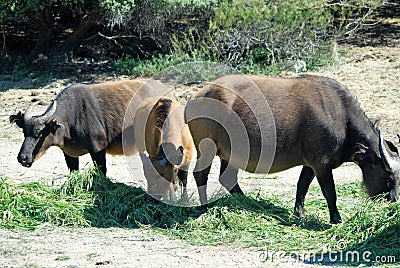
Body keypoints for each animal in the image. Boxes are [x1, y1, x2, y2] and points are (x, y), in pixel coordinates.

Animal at [185, 74, 400, 223]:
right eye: (388, 178)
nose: (393, 200)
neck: (341, 118)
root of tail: (197, 96)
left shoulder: (310, 165)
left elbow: (301, 186)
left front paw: (299, 213)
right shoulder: (322, 165)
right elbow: (329, 191)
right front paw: (336, 218)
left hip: (231, 154)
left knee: (227, 178)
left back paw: (249, 203)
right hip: (208, 149)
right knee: (200, 175)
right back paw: (204, 208)